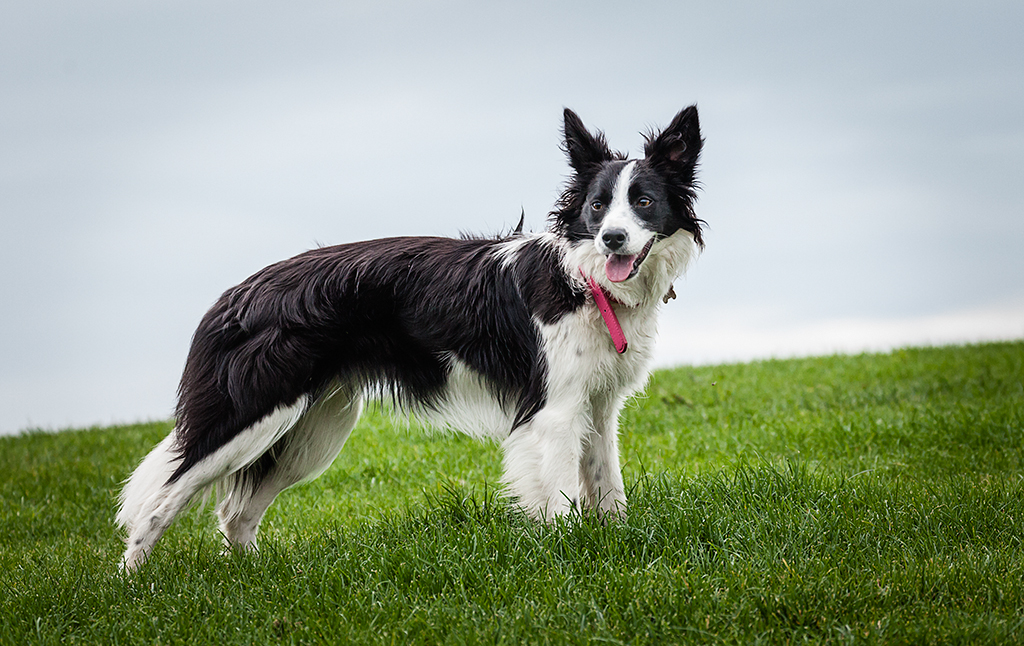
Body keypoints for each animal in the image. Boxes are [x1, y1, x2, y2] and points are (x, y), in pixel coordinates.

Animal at [116, 105, 700, 569]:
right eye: (597, 206)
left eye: (644, 202)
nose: (612, 239)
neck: (584, 279)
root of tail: (237, 293)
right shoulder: (553, 412)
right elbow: (559, 501)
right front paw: (567, 557)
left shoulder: (597, 408)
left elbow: (607, 487)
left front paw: (614, 543)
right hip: (253, 413)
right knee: (161, 499)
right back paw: (130, 583)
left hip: (312, 429)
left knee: (235, 513)